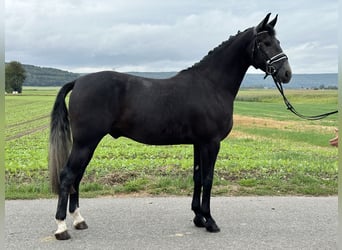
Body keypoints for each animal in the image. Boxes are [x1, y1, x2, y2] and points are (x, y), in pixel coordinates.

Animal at [49, 14, 292, 240]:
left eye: (278, 41)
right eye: (266, 43)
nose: (287, 73)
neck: (211, 85)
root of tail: (79, 81)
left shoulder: (198, 143)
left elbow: (197, 177)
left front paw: (198, 218)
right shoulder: (211, 143)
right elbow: (208, 179)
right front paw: (210, 221)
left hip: (87, 144)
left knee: (77, 176)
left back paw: (79, 220)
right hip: (86, 142)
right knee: (68, 175)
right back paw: (61, 228)